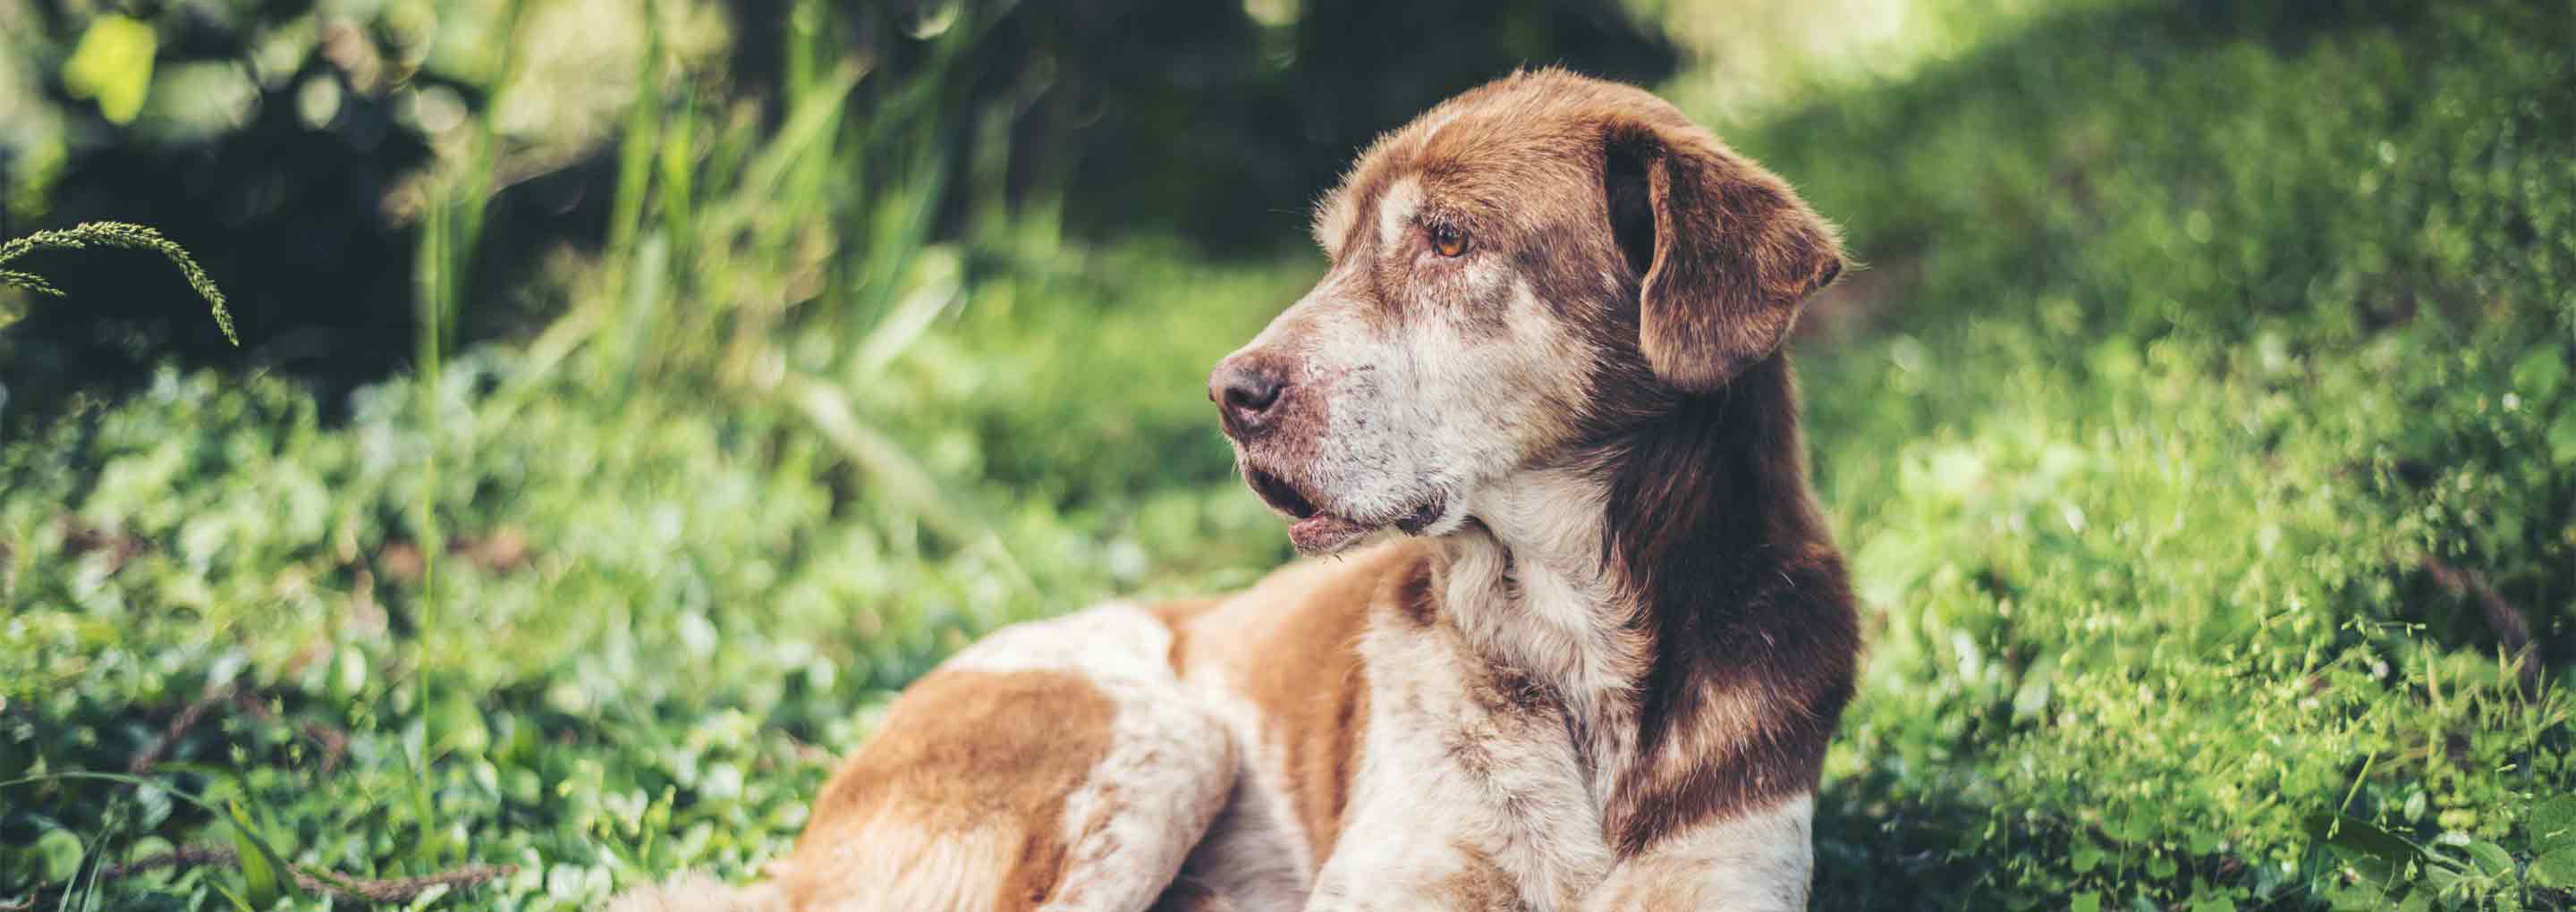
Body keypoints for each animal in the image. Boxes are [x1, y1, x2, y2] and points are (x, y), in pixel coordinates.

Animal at [607, 69, 1854, 912]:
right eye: (1335, 251)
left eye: (1448, 240)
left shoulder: (1722, 876)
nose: (1229, 393)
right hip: (1158, 739)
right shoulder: (1391, 883)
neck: (1573, 644)